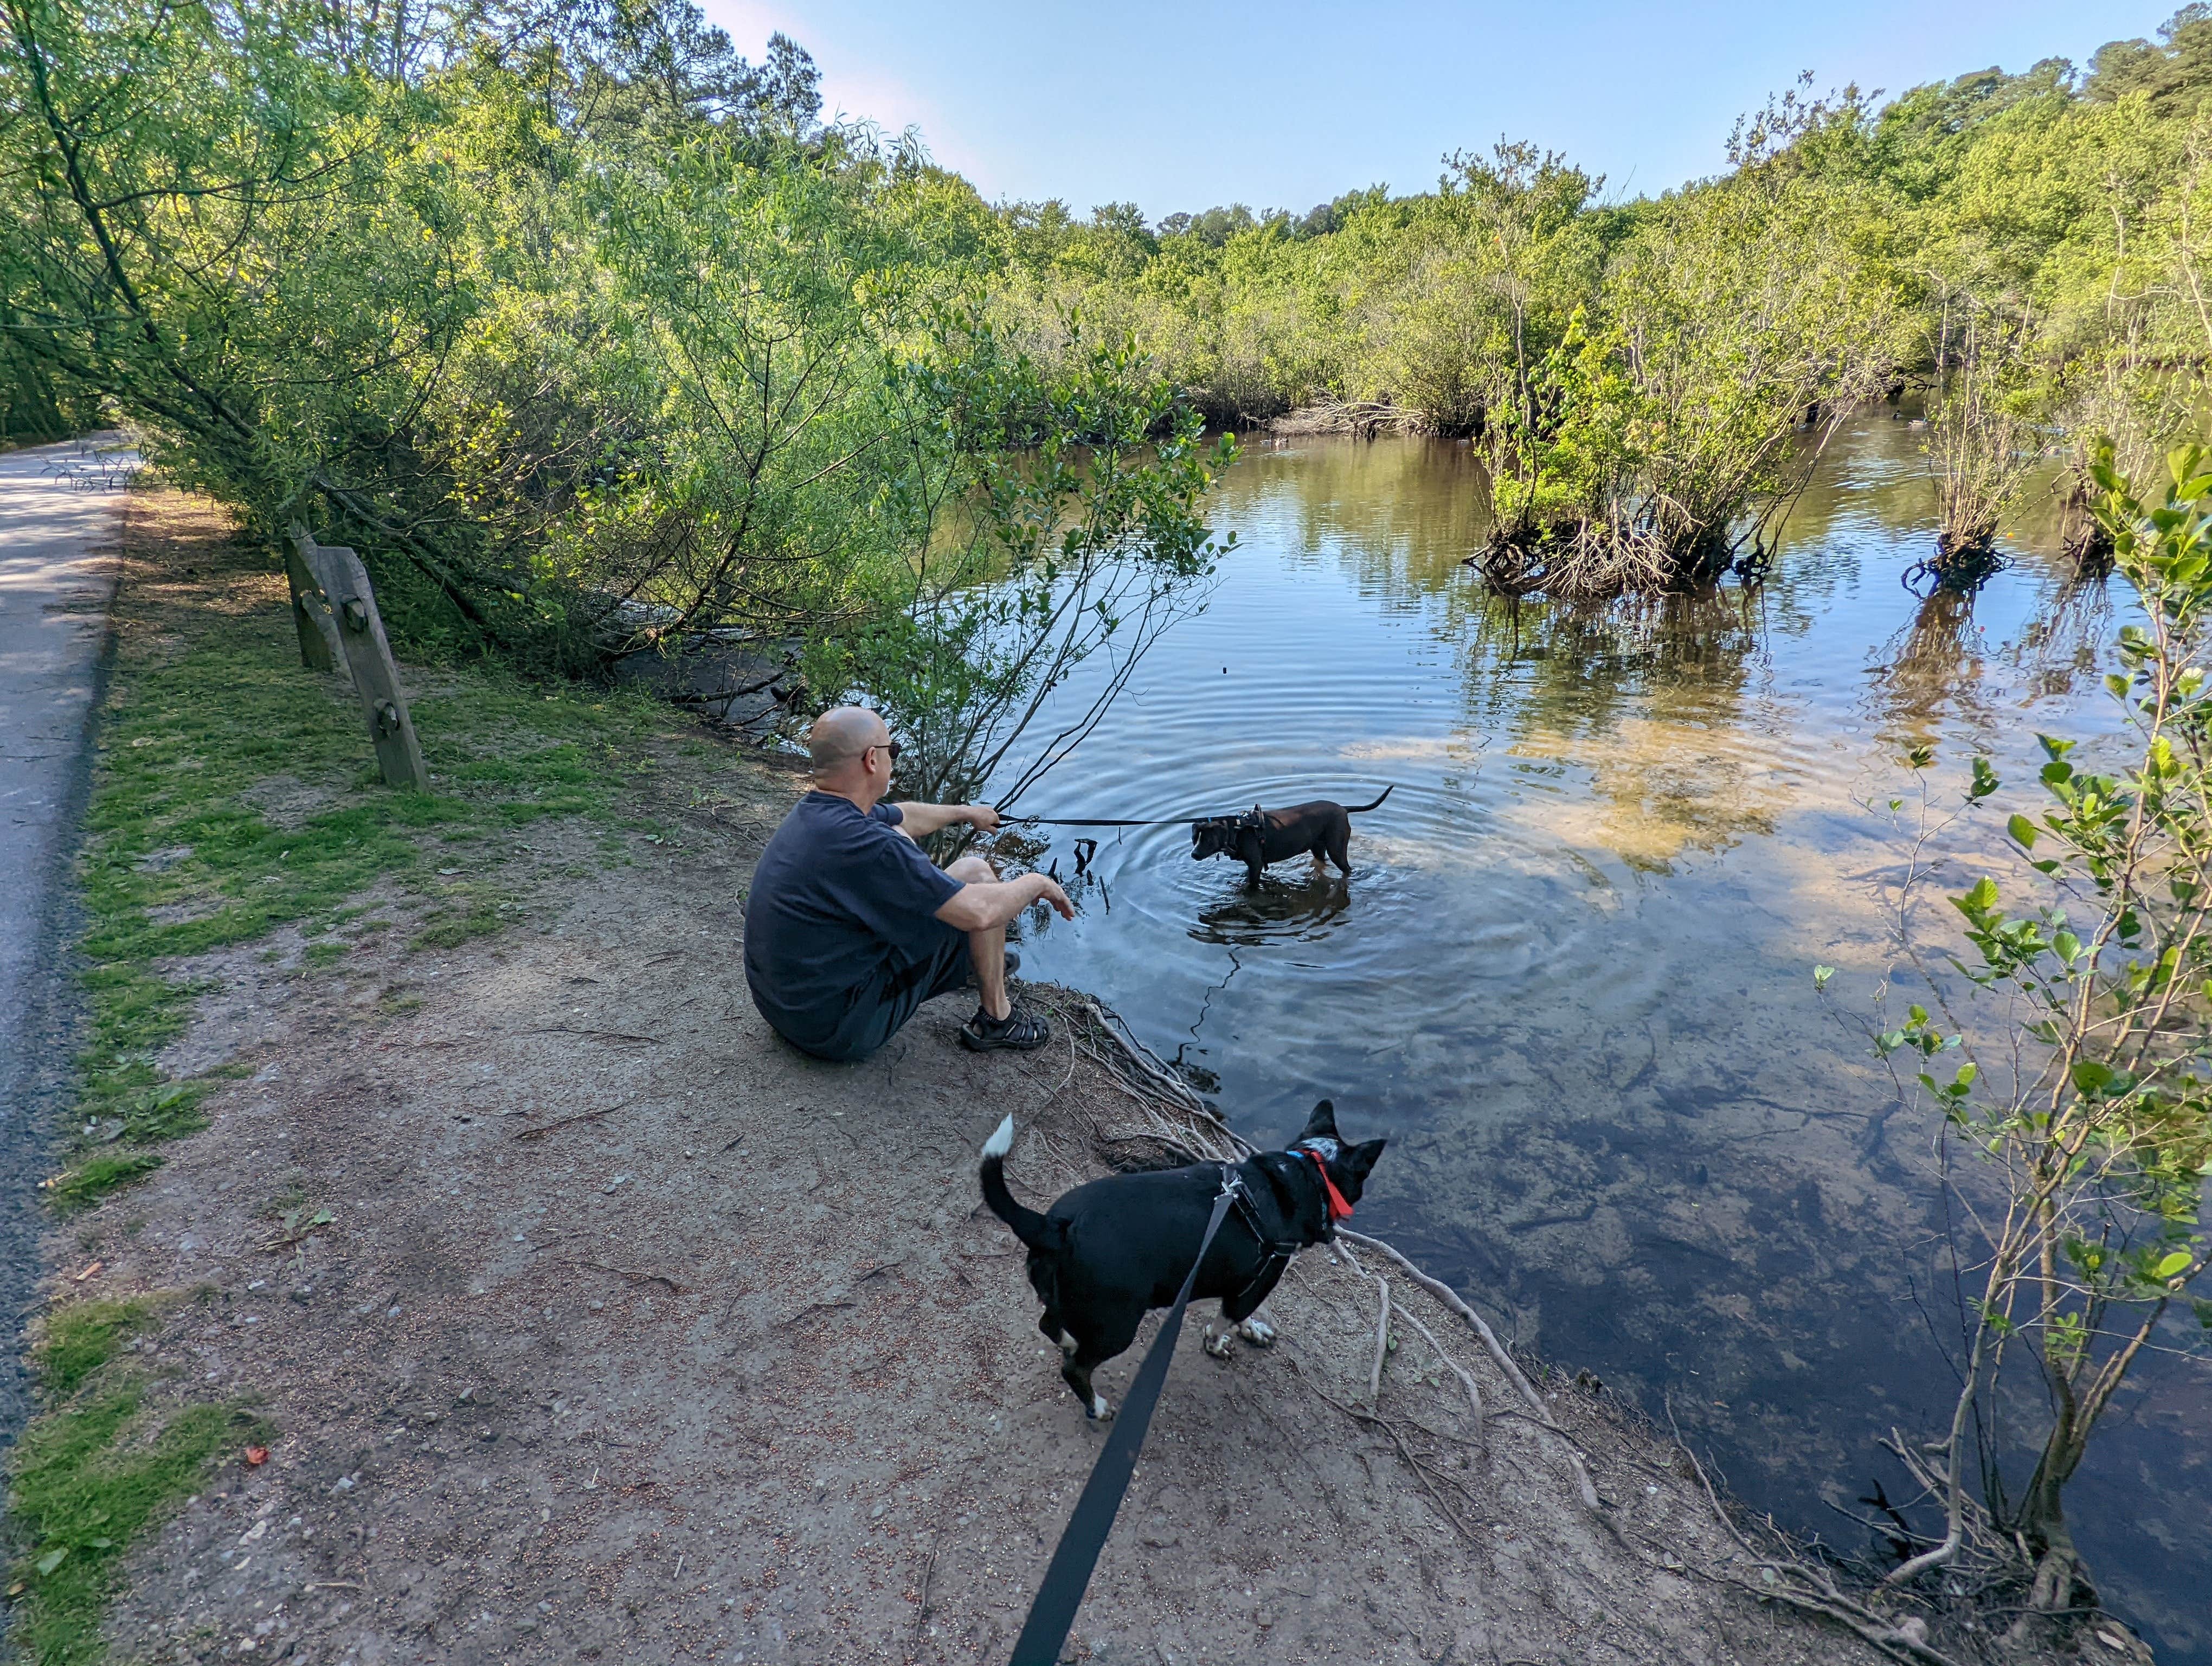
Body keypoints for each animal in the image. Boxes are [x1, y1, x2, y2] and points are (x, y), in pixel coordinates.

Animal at [982, 1093, 1380, 1415]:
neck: (1309, 1171)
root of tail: (1056, 1225)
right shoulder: (1255, 1285)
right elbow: (1226, 1321)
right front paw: (1218, 1344)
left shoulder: (1247, 1282)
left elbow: (1244, 1317)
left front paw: (1253, 1331)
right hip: (1117, 1326)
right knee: (1075, 1369)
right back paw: (1098, 1407)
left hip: (1067, 1301)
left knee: (1049, 1326)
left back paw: (1068, 1342)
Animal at [1203, 787, 1389, 889]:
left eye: (1208, 840)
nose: (1196, 853)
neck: (1237, 827)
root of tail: (1344, 809)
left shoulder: (1256, 865)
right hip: (1319, 847)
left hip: (1337, 849)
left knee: (1347, 870)